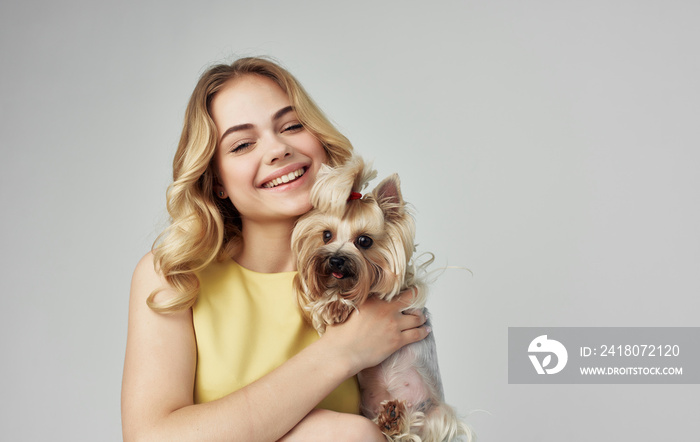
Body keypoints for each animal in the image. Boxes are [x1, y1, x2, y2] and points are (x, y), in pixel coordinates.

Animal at [292, 157, 474, 440]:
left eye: (364, 241)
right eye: (326, 235)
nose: (335, 260)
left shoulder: (407, 292)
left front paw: (341, 302)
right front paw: (333, 304)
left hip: (438, 414)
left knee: (417, 428)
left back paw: (396, 419)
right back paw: (391, 419)